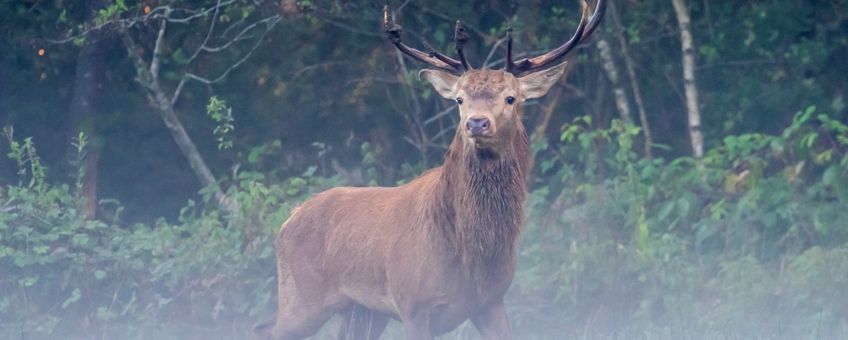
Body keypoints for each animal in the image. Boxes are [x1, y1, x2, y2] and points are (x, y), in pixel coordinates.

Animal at [255, 1, 608, 338]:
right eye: (459, 99)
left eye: (511, 98)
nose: (476, 123)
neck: (471, 257)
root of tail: (288, 220)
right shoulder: (412, 305)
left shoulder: (492, 302)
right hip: (301, 297)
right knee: (264, 328)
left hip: (362, 311)